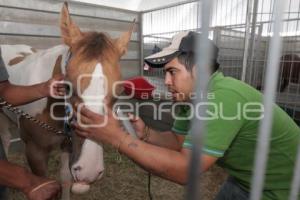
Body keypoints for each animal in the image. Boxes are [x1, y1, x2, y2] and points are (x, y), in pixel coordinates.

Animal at [0, 2, 134, 199]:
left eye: (119, 92)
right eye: (68, 86)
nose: (89, 171)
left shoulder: (67, 145)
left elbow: (65, 178)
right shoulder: (35, 151)